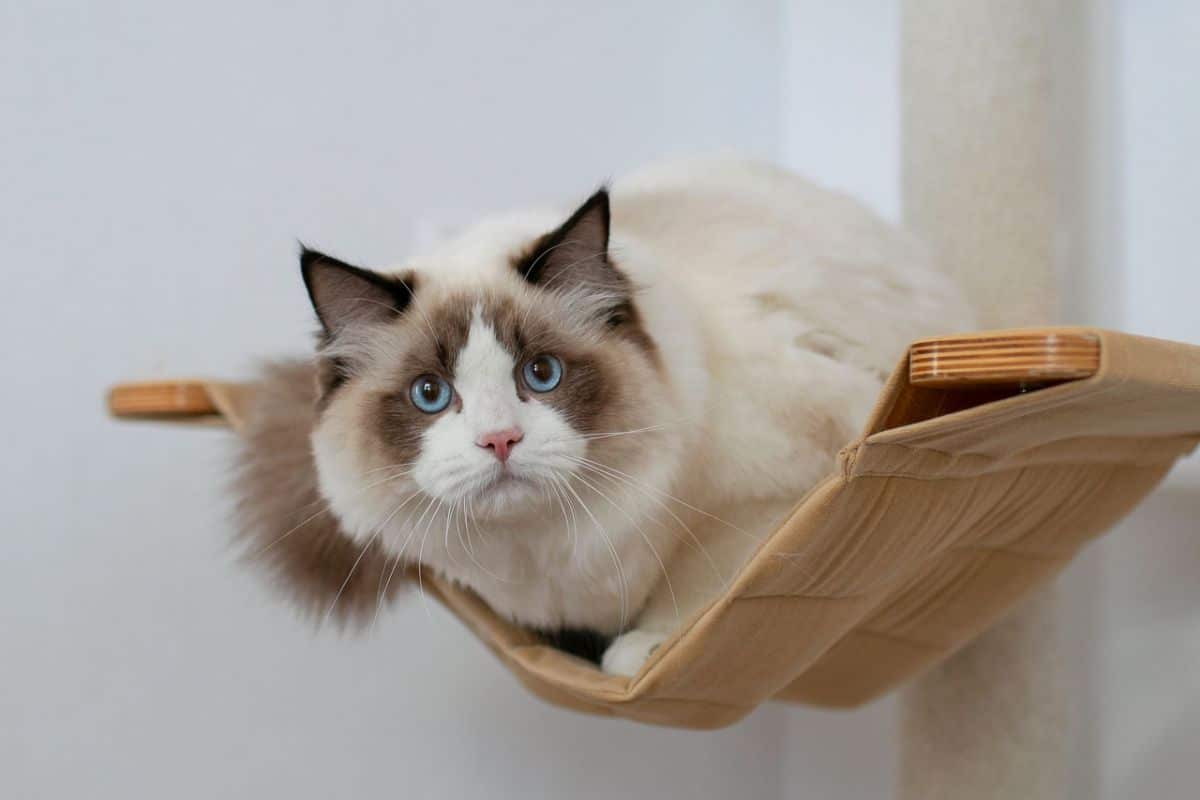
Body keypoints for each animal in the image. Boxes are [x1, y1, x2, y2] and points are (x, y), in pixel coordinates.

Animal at [236, 159, 974, 681]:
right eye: (430, 394)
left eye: (541, 374)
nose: (499, 440)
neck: (543, 554)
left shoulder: (776, 500)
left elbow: (703, 583)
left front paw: (639, 649)